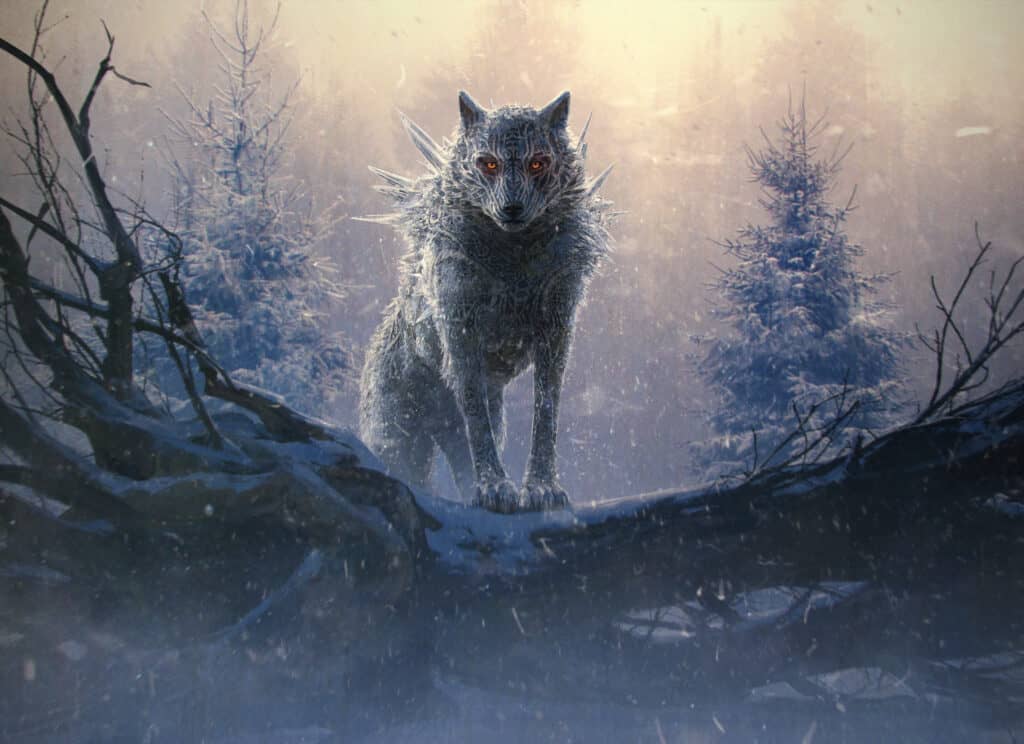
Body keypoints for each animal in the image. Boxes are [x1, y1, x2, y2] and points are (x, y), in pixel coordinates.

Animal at [359, 90, 611, 513]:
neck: (514, 257)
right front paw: (495, 489)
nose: (512, 208)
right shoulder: (461, 338)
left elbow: (546, 411)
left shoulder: (556, 332)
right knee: (412, 462)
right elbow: (477, 422)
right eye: (488, 163)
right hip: (400, 434)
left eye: (537, 162)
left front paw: (541, 490)